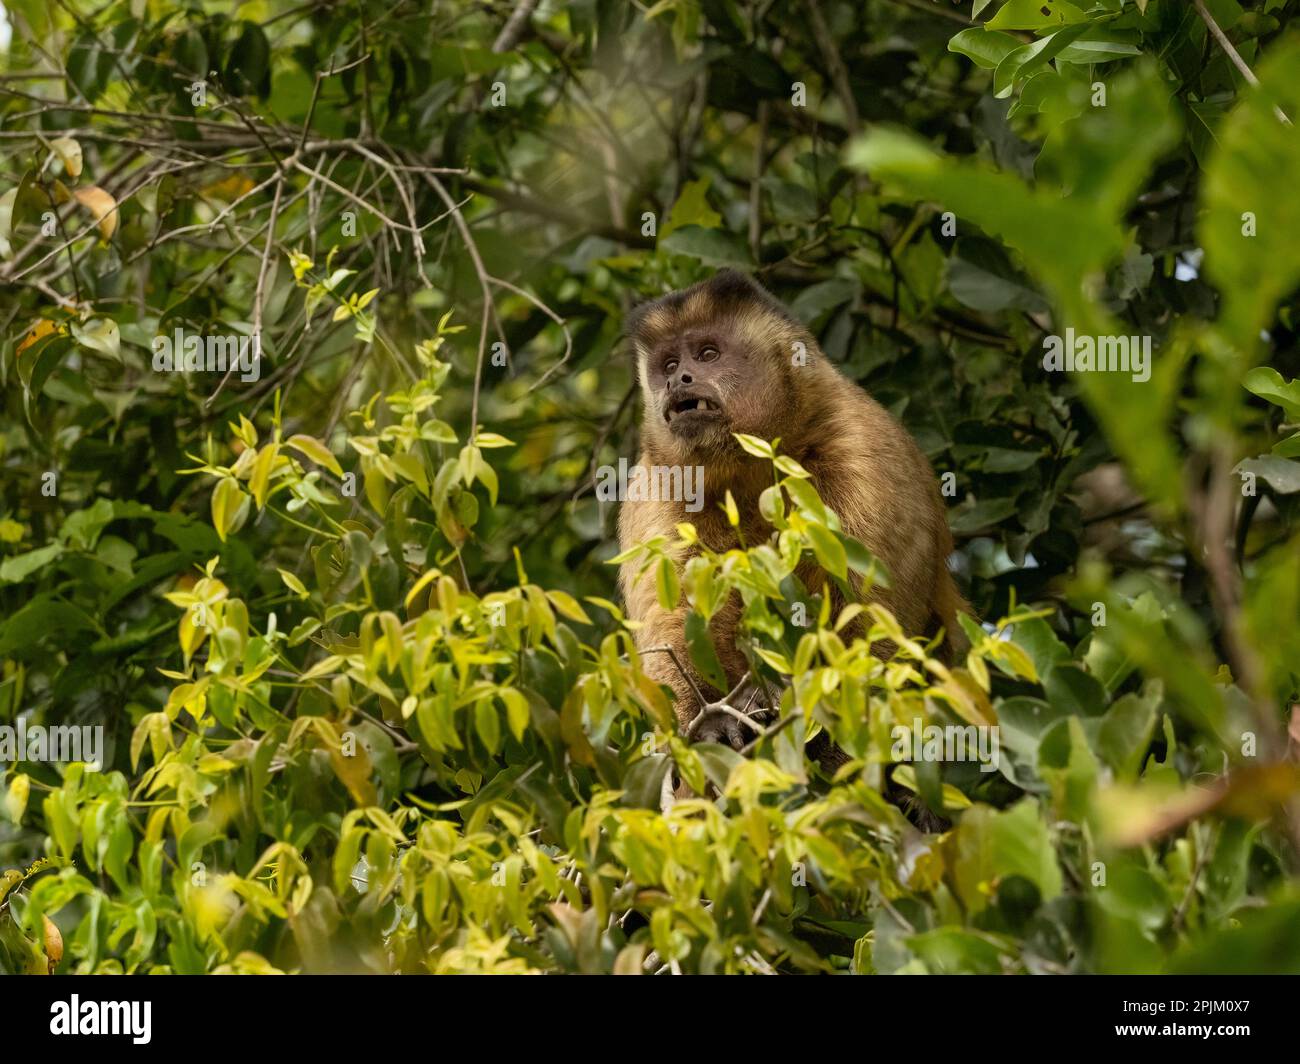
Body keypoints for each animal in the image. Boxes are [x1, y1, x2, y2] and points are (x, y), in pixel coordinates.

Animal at [616, 271, 967, 754]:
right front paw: (711, 724)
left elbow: (871, 631)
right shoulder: (654, 487)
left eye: (707, 354)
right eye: (668, 365)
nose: (678, 381)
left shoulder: (865, 453)